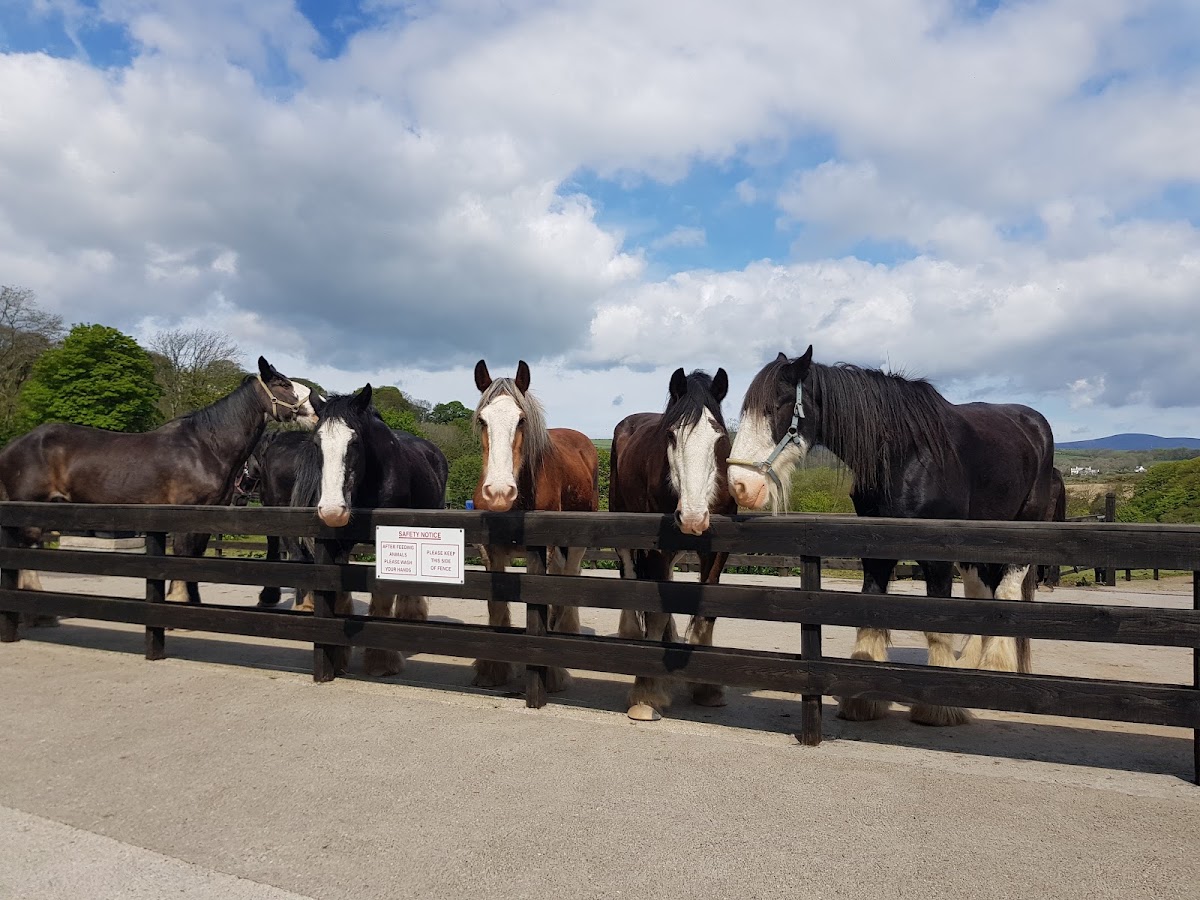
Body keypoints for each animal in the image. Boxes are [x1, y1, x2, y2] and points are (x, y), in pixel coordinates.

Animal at [0, 357, 317, 608]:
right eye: (282, 384)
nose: (317, 406)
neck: (204, 447)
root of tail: (15, 446)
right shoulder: (184, 514)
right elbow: (183, 556)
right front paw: (178, 602)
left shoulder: (206, 518)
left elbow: (196, 558)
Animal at [292, 385, 448, 676]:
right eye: (317, 443)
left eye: (354, 443)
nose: (332, 510)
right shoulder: (338, 545)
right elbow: (339, 595)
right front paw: (337, 656)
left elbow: (383, 595)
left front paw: (381, 661)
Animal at [471, 360, 599, 691]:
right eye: (483, 420)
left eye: (521, 420)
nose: (499, 492)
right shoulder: (490, 551)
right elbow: (497, 607)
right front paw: (493, 670)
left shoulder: (546, 549)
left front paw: (552, 673)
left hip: (575, 545)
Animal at [610, 367, 736, 720]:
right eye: (671, 435)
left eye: (719, 436)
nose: (692, 517)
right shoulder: (656, 548)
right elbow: (655, 613)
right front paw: (646, 694)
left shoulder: (716, 550)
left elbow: (706, 612)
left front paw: (707, 689)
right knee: (630, 577)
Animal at [727, 346, 1064, 726]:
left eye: (775, 407)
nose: (740, 485)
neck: (906, 455)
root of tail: (1034, 423)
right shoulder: (875, 551)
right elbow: (871, 614)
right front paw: (862, 702)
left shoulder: (936, 558)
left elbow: (938, 626)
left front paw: (938, 707)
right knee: (981, 596)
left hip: (1022, 535)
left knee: (1006, 594)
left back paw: (996, 669)